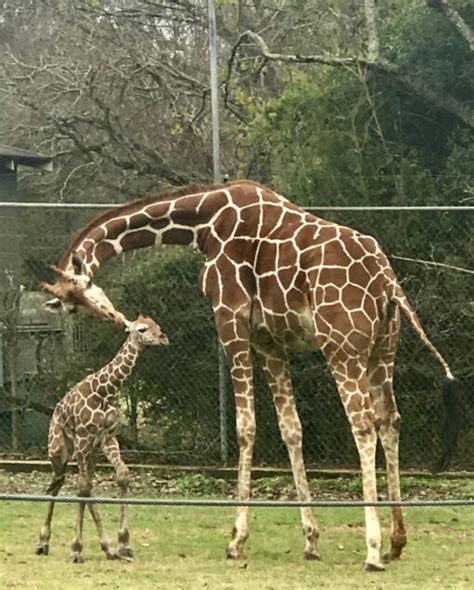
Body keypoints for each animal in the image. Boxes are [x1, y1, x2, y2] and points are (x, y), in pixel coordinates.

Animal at [35, 316, 168, 568]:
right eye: (142, 329)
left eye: (157, 325)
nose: (163, 338)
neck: (105, 391)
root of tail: (55, 410)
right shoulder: (84, 438)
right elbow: (82, 488)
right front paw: (77, 549)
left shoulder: (108, 437)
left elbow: (121, 475)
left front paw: (123, 543)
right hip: (60, 449)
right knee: (60, 485)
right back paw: (43, 542)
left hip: (91, 452)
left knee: (81, 485)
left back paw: (105, 548)